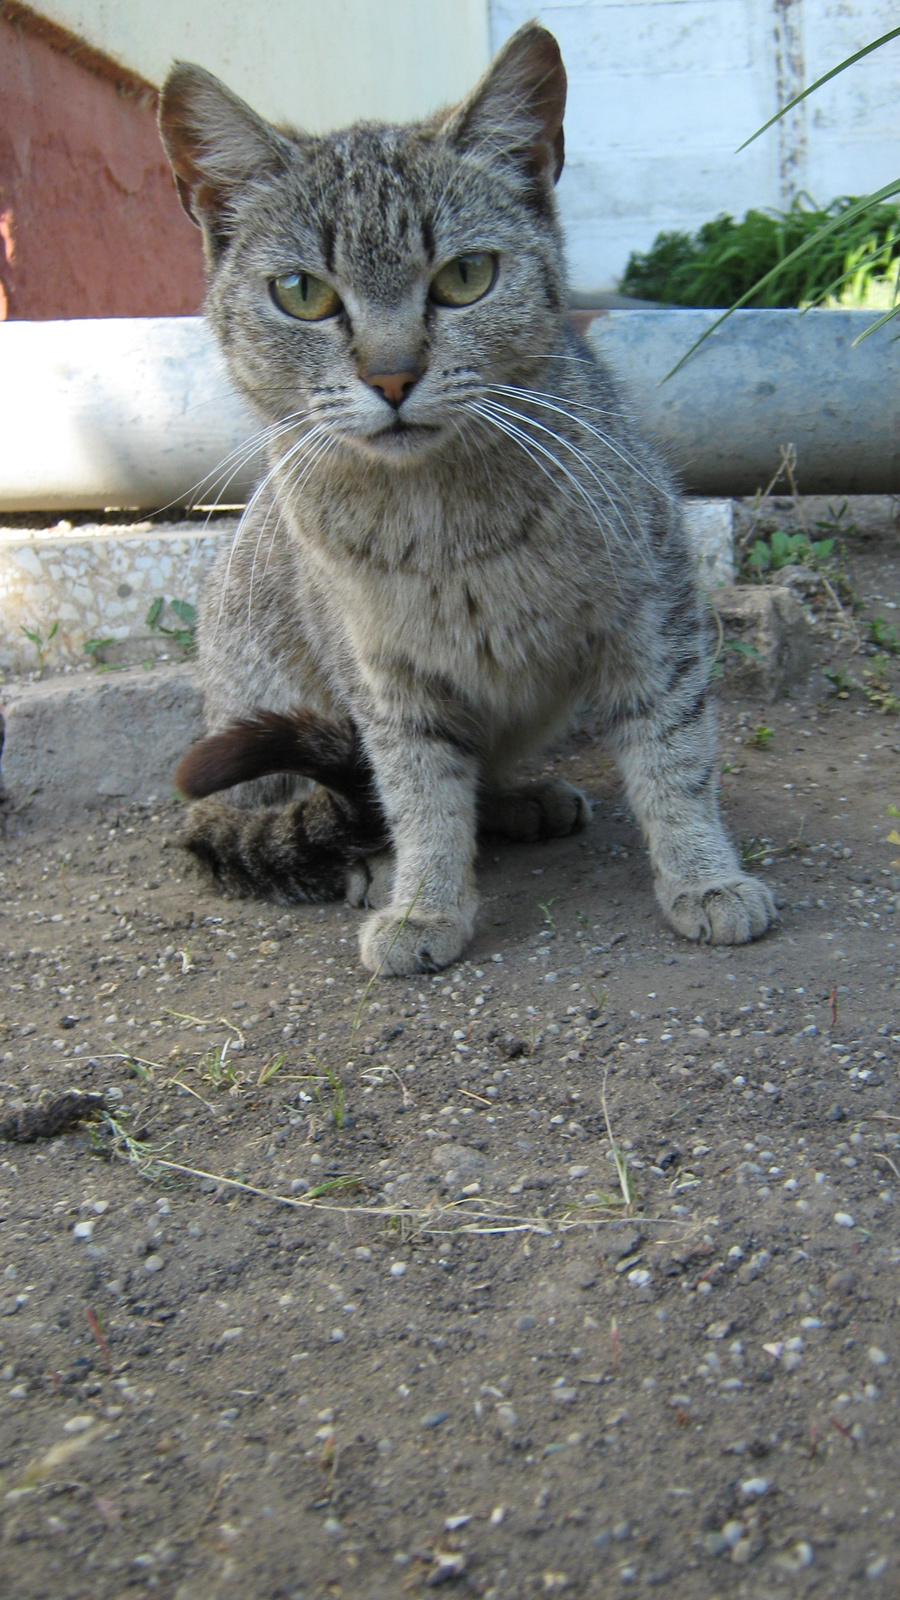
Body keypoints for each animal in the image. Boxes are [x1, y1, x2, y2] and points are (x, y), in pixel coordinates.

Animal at [159, 21, 771, 972]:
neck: (442, 520)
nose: (391, 375)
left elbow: (676, 755)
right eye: (302, 292)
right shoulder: (382, 677)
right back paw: (374, 861)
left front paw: (705, 876)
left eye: (465, 277)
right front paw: (424, 902)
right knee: (326, 807)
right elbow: (418, 794)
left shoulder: (656, 609)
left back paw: (519, 801)